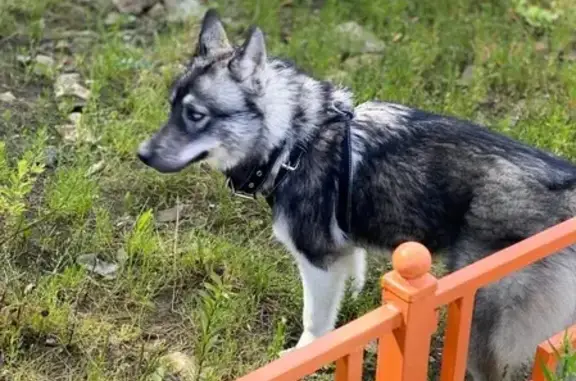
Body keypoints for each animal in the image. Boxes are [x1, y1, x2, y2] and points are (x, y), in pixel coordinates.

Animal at [138, 8, 576, 380]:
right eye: (171, 107)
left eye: (196, 115)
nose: (141, 154)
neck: (294, 141)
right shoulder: (342, 251)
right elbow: (354, 270)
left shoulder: (317, 262)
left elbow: (315, 323)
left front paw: (306, 356)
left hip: (483, 323)